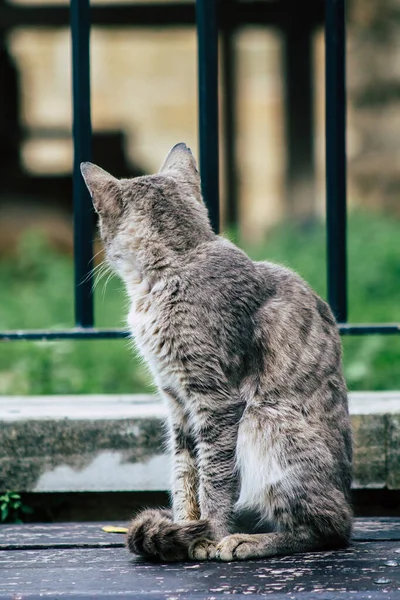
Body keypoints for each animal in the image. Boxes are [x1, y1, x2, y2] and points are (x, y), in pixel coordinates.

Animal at [82, 142, 354, 564]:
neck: (176, 263)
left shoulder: (217, 400)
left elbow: (215, 478)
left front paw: (211, 534)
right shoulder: (176, 401)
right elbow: (185, 472)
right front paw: (184, 528)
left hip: (264, 422)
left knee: (330, 527)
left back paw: (251, 540)